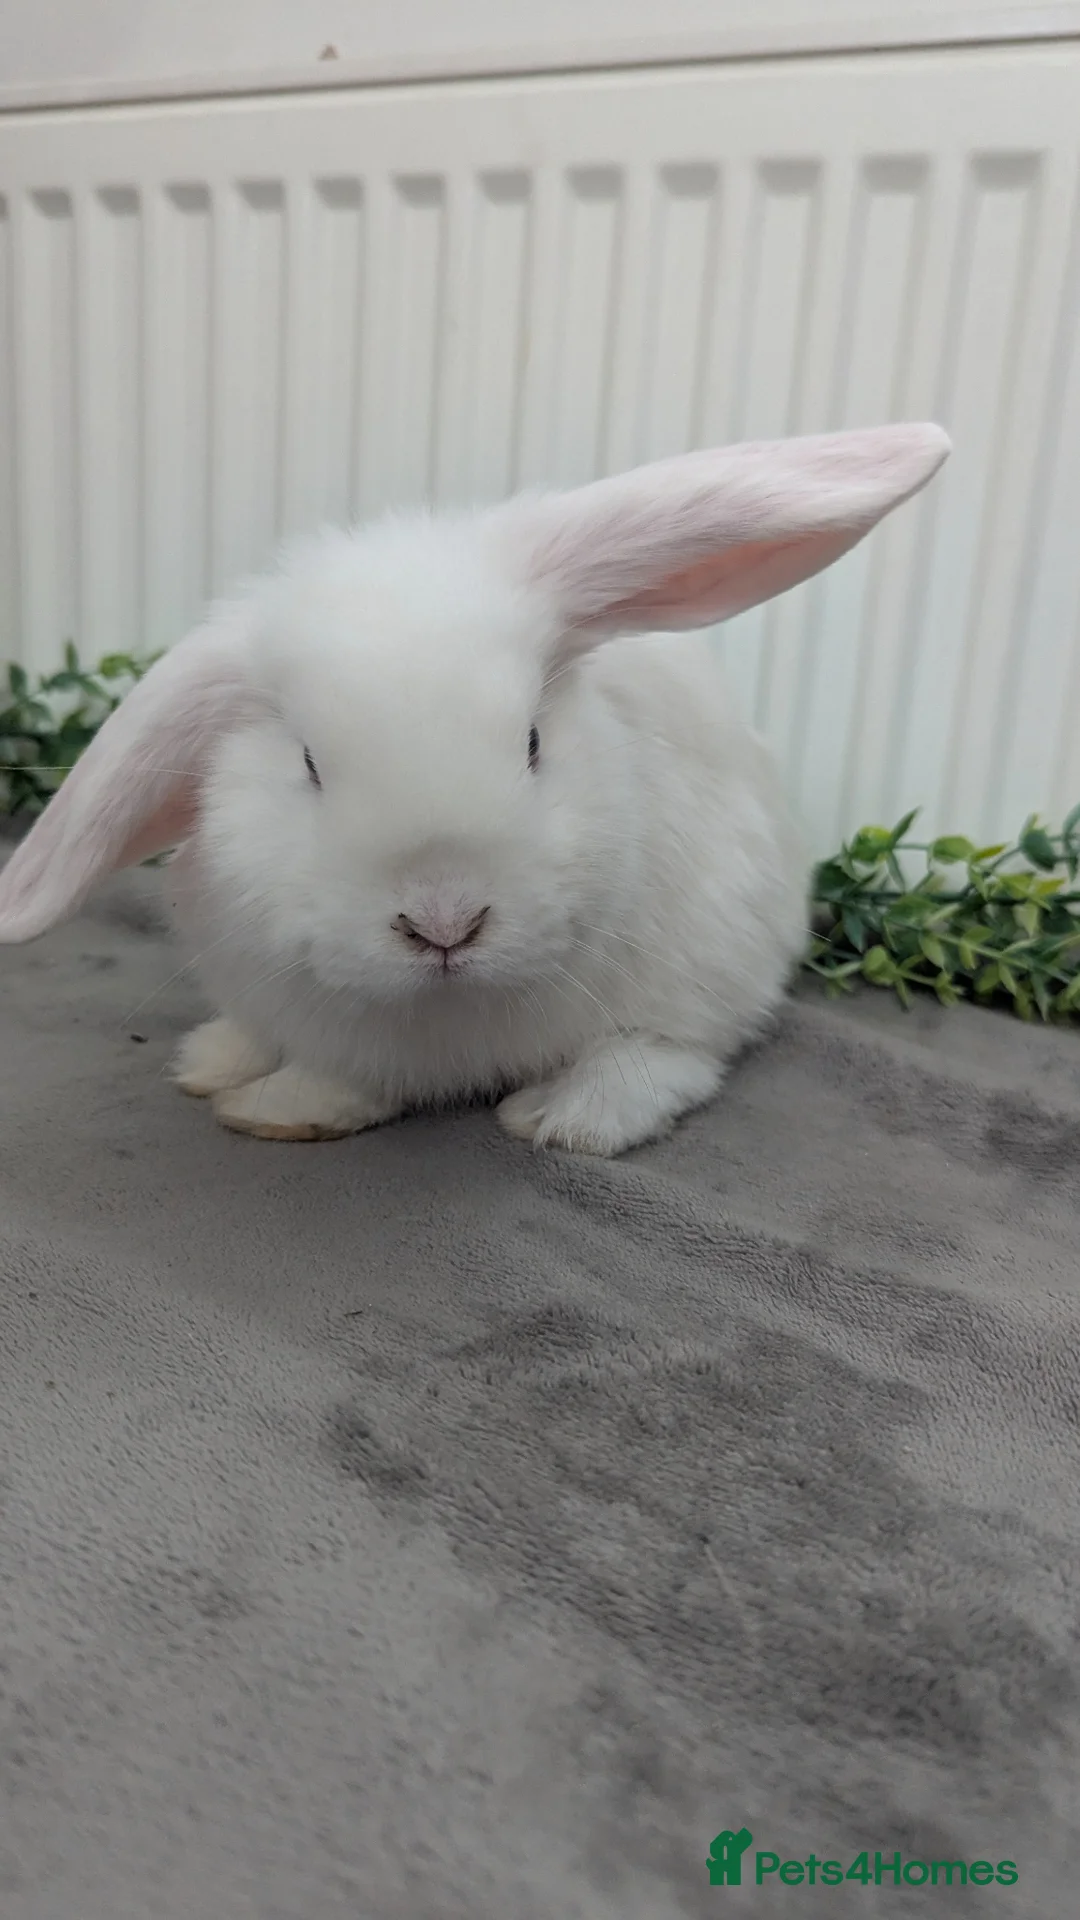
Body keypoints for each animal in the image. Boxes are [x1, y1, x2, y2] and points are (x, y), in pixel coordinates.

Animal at [0, 425, 949, 1155]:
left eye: (531, 742)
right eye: (309, 765)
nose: (445, 924)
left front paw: (272, 1111)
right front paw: (267, 1099)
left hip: (716, 953)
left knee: (671, 1056)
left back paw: (566, 1118)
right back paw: (214, 1059)